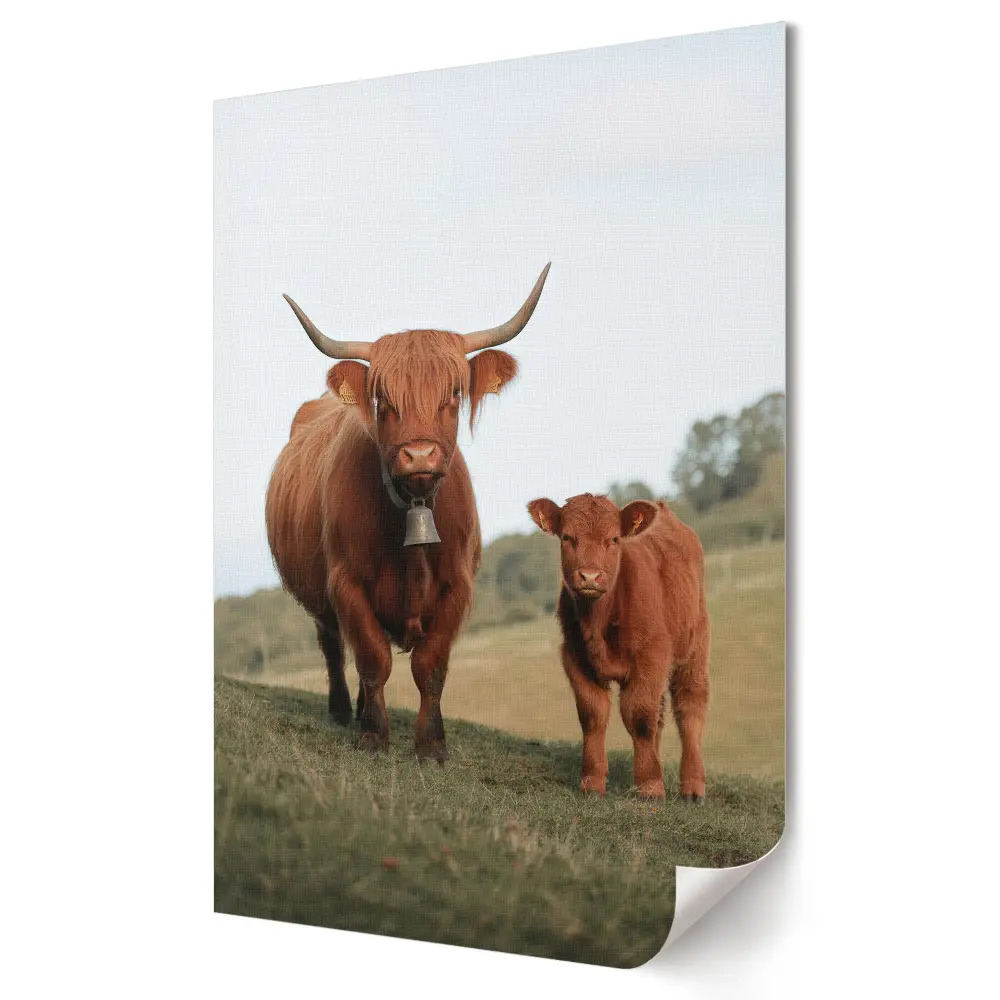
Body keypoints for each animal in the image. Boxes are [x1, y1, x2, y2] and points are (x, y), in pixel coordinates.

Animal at [266, 265, 551, 761]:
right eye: (383, 398)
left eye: (453, 392)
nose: (419, 456)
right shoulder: (345, 584)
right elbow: (372, 659)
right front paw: (374, 735)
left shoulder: (457, 585)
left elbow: (429, 666)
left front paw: (431, 743)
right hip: (319, 598)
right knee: (333, 646)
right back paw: (343, 711)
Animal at [526, 493, 710, 801]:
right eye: (567, 537)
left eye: (613, 539)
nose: (589, 576)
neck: (598, 621)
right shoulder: (576, 658)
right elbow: (593, 715)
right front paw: (592, 782)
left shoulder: (651, 656)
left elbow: (640, 717)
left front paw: (650, 787)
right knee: (661, 716)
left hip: (694, 648)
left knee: (690, 709)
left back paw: (693, 787)